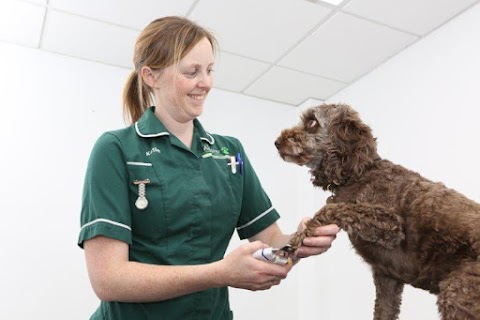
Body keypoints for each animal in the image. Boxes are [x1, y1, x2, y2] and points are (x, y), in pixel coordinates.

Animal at [274, 104, 480, 318]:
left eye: (312, 122)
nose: (277, 143)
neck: (360, 173)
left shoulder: (390, 225)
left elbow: (333, 208)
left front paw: (300, 236)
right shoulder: (387, 278)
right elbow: (383, 311)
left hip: (458, 292)